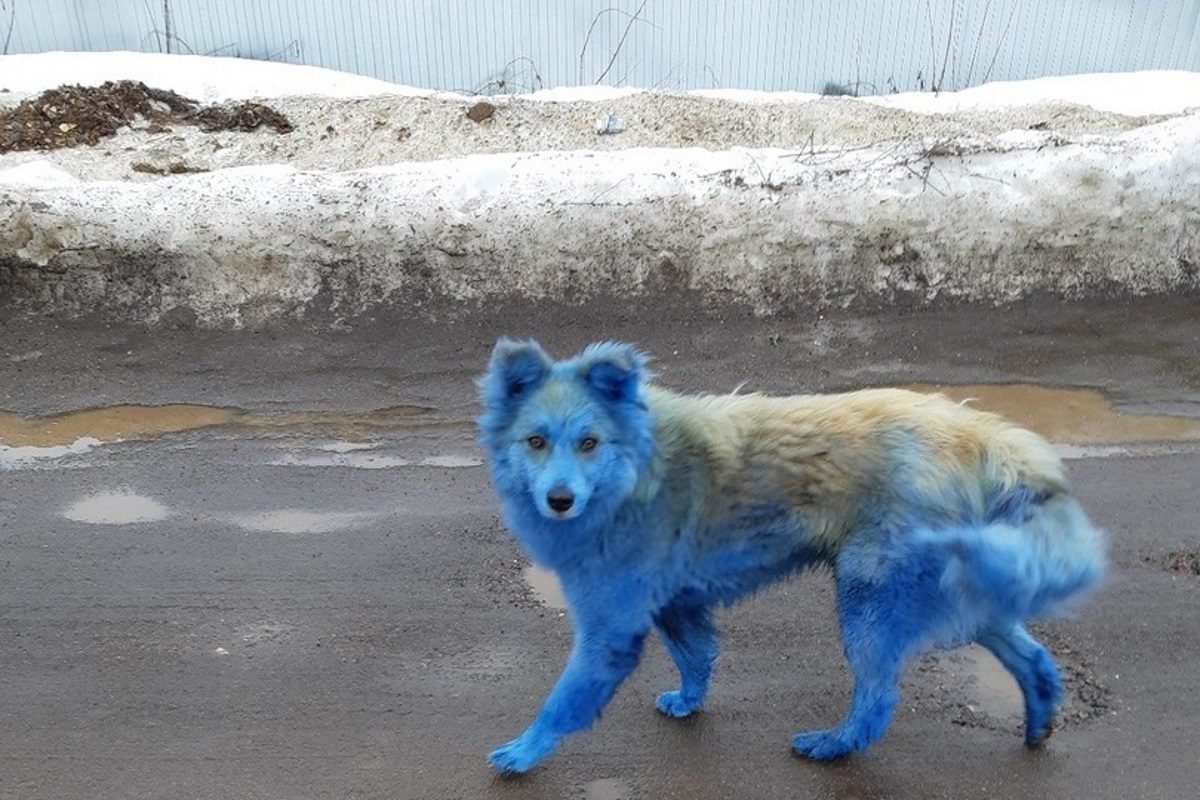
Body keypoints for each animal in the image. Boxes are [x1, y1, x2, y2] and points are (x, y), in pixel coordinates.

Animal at [475, 340, 1104, 772]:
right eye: (536, 441)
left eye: (588, 443)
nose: (559, 500)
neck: (634, 475)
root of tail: (973, 430)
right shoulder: (672, 603)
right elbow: (696, 656)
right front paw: (688, 701)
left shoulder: (609, 627)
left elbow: (563, 700)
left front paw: (524, 751)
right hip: (948, 590)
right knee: (1032, 657)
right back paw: (1039, 720)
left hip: (868, 600)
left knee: (877, 696)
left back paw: (833, 745)